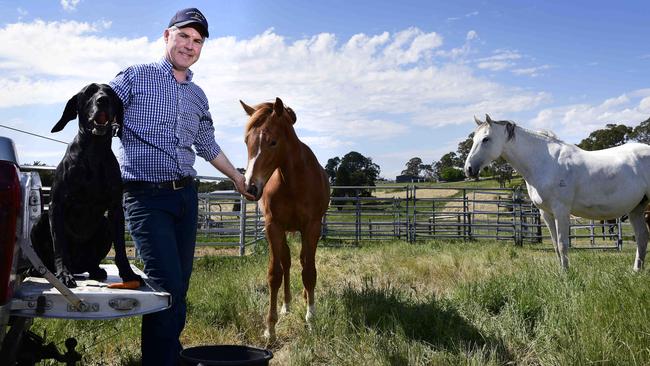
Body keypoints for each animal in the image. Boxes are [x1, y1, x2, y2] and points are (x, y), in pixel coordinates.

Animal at [31, 83, 141, 288]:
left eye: (111, 93)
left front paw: (129, 274)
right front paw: (64, 274)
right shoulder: (57, 206)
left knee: (92, 262)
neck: (94, 152)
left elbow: (121, 248)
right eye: (89, 92)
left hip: (104, 226)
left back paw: (96, 270)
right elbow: (60, 246)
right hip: (39, 222)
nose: (103, 100)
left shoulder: (115, 210)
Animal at [464, 115, 648, 272]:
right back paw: (636, 271)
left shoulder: (561, 210)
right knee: (642, 237)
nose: (468, 169)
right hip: (636, 208)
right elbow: (554, 244)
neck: (545, 162)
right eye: (474, 140)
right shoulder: (546, 213)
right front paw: (561, 271)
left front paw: (566, 274)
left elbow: (562, 244)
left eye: (486, 139)